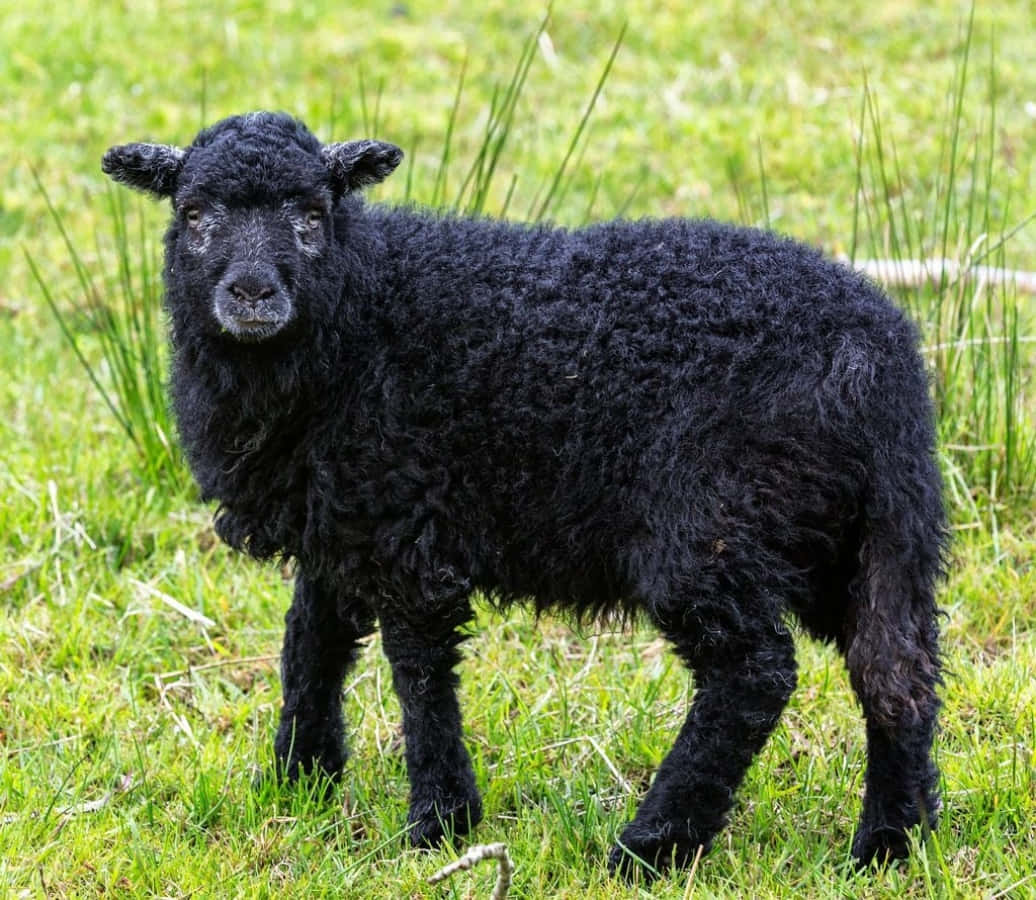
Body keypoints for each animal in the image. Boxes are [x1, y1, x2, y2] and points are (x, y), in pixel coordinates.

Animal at [102, 111, 945, 879]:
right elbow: (310, 644)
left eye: (313, 215)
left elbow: (417, 673)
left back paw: (649, 847)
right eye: (193, 214)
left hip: (715, 524)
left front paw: (439, 821)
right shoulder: (342, 517)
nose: (252, 294)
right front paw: (297, 782)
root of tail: (881, 356)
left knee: (755, 674)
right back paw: (889, 845)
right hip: (858, 532)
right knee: (893, 671)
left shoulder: (406, 521)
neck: (360, 310)